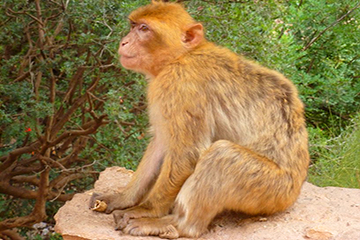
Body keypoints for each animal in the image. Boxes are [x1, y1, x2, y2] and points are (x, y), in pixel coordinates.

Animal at [90, 0, 310, 238]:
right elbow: (162, 143)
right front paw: (123, 198)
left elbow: (187, 153)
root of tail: (295, 190)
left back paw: (176, 225)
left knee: (221, 154)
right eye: (133, 25)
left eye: (144, 29)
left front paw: (145, 210)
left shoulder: (180, 86)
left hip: (273, 189)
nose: (124, 41)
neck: (180, 57)